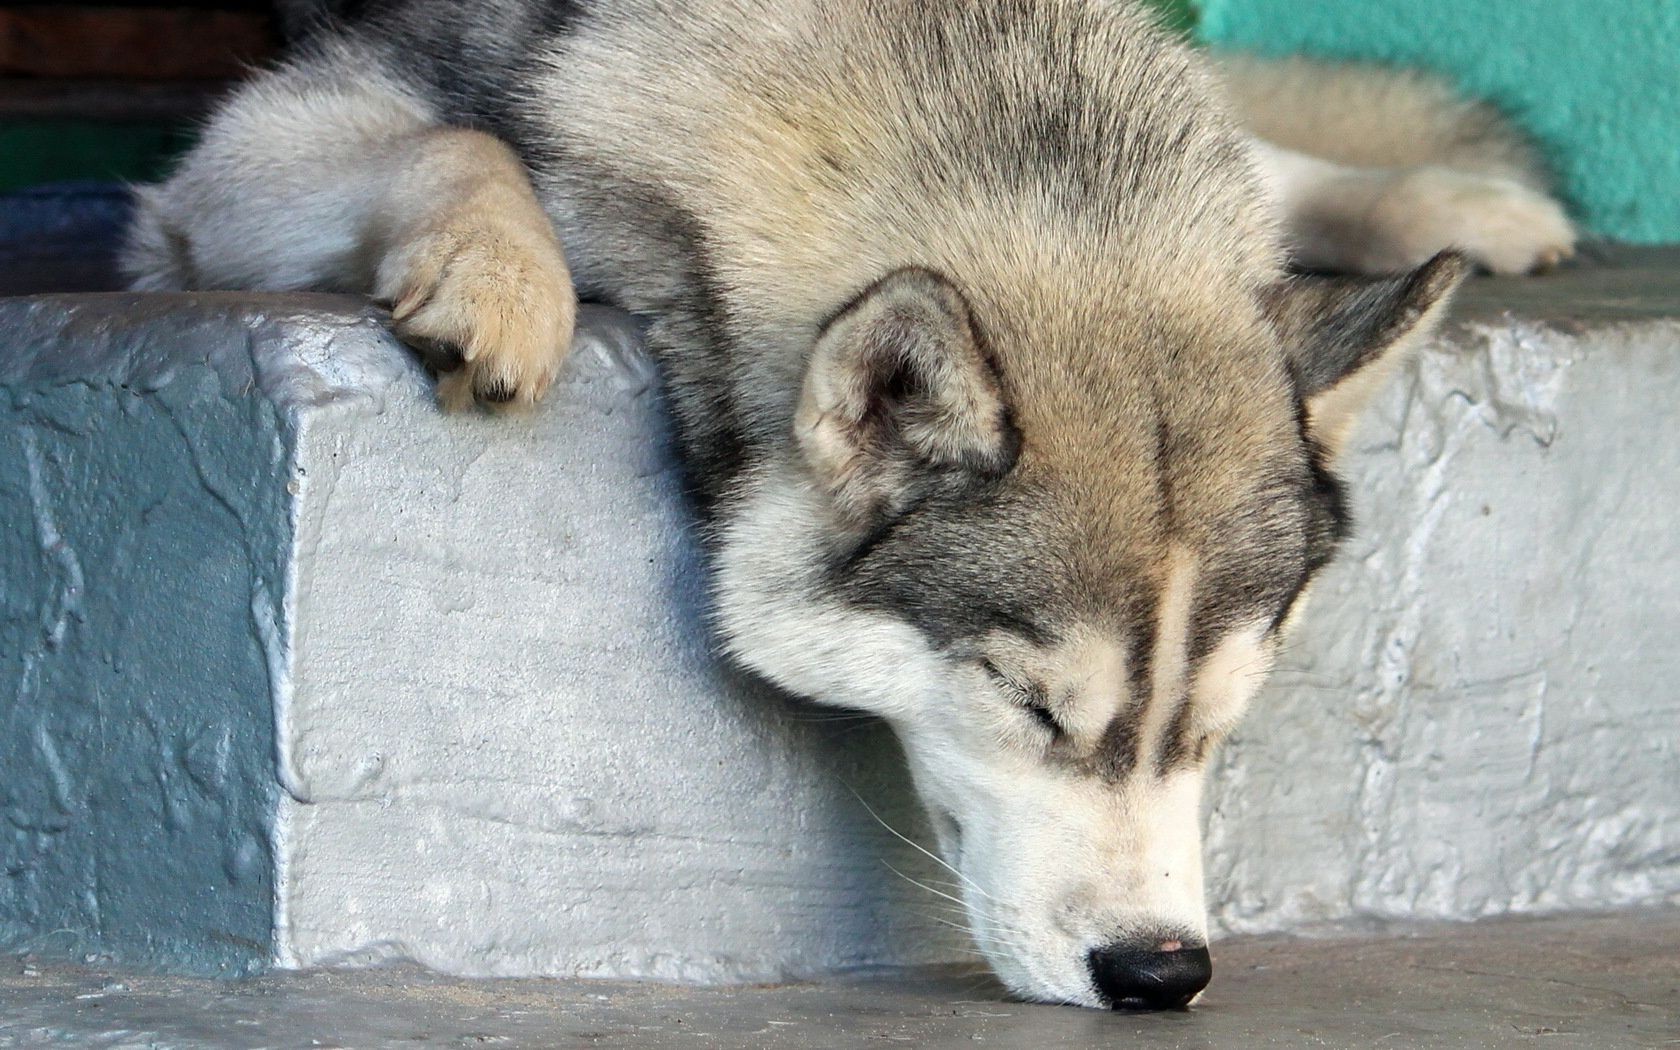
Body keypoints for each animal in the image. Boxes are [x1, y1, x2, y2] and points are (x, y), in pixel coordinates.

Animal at [121, 0, 1572, 1007]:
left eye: (1217, 721)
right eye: (1027, 701)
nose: (1161, 973)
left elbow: (1254, 151)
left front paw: (1422, 199)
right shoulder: (238, 158)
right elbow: (464, 135)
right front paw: (500, 274)